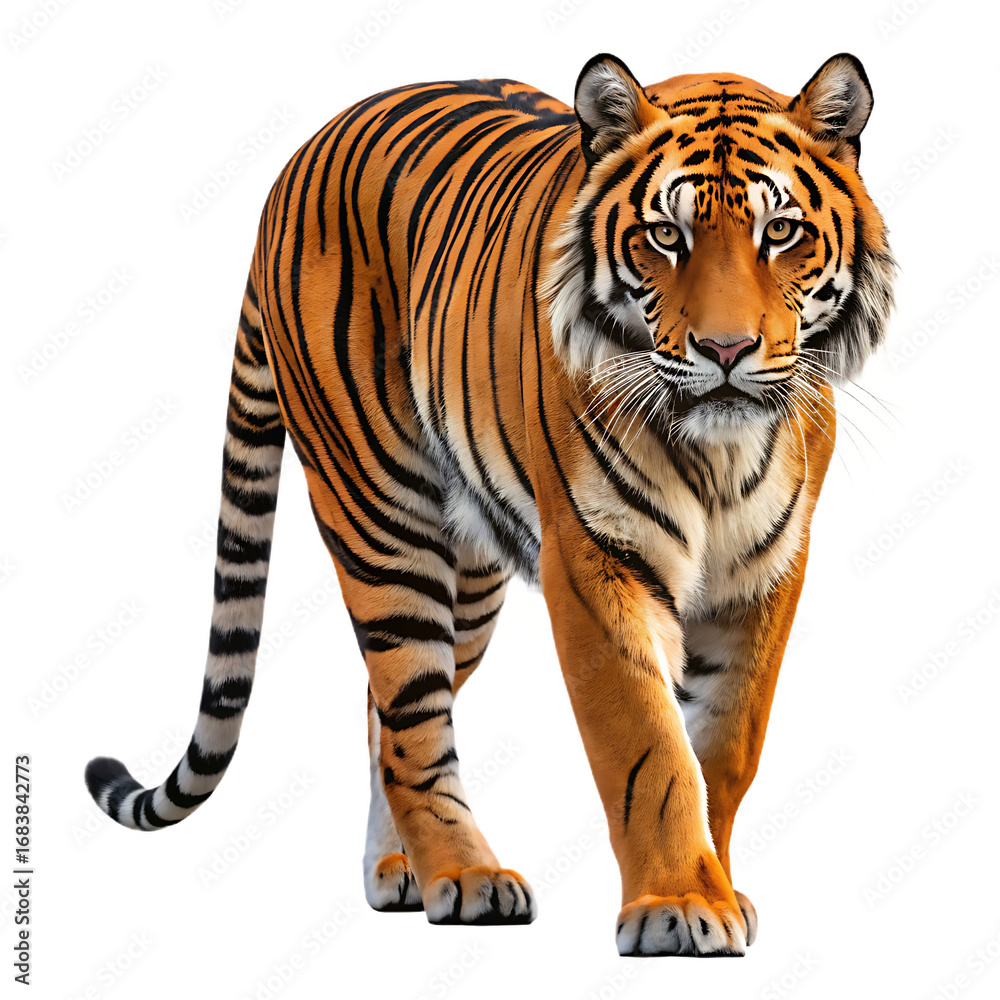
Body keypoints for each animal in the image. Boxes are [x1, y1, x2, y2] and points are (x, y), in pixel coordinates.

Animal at [84, 51, 895, 957]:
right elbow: (648, 745)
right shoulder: (595, 561)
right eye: (664, 236)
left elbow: (724, 747)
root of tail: (292, 166)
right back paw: (465, 877)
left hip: (469, 575)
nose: (725, 350)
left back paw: (399, 870)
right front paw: (679, 903)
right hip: (381, 520)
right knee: (411, 720)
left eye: (780, 233)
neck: (718, 452)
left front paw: (716, 884)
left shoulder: (766, 572)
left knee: (384, 709)